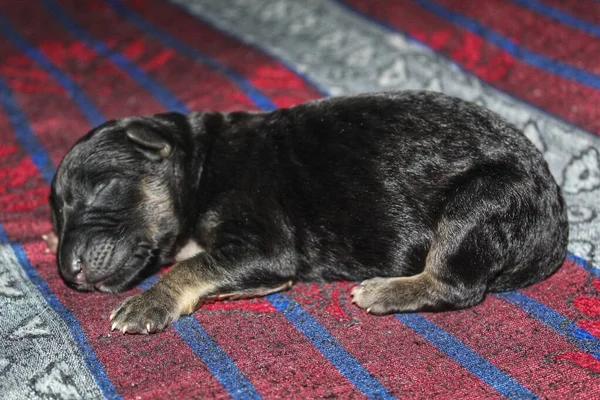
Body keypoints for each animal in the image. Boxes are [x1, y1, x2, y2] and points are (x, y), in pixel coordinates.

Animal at [43, 91, 568, 334]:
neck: (200, 163)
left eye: (102, 187)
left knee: (455, 284)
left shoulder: (264, 241)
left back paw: (387, 290)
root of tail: (556, 228)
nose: (70, 270)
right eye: (58, 212)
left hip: (481, 200)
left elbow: (194, 266)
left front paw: (149, 302)